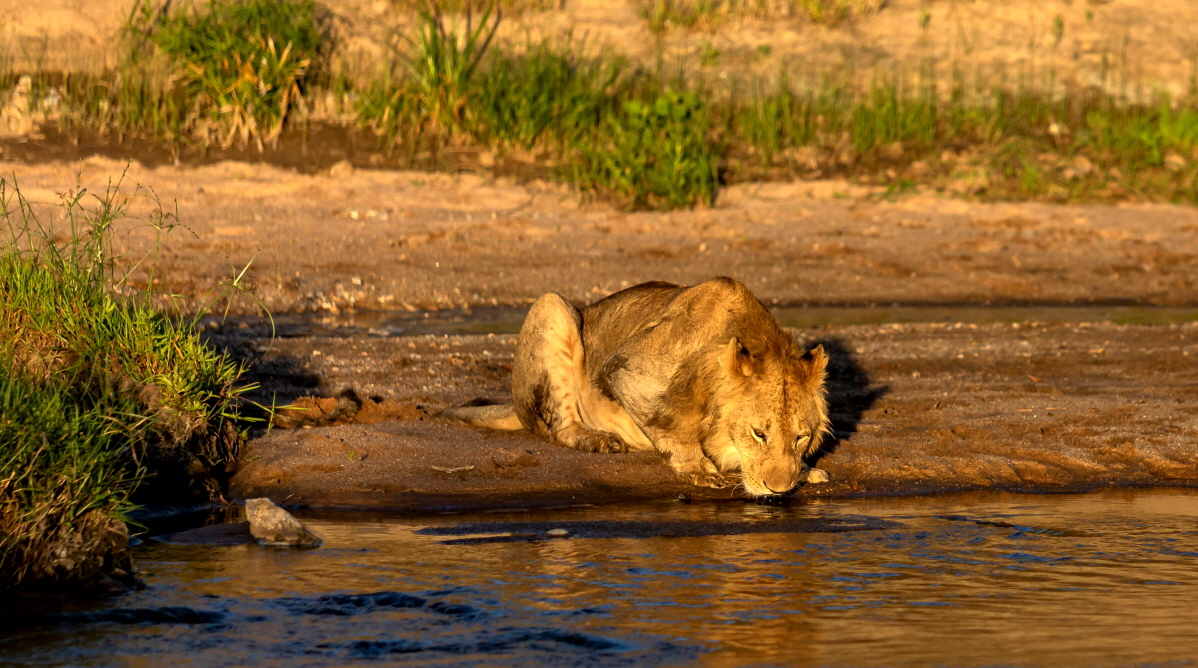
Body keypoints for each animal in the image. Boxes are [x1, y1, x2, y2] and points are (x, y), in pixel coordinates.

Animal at [440, 277, 833, 498]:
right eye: (758, 434)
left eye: (801, 437)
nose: (779, 489)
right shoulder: (626, 369)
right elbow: (672, 426)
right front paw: (697, 469)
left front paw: (806, 471)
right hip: (553, 306)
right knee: (560, 427)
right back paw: (597, 440)